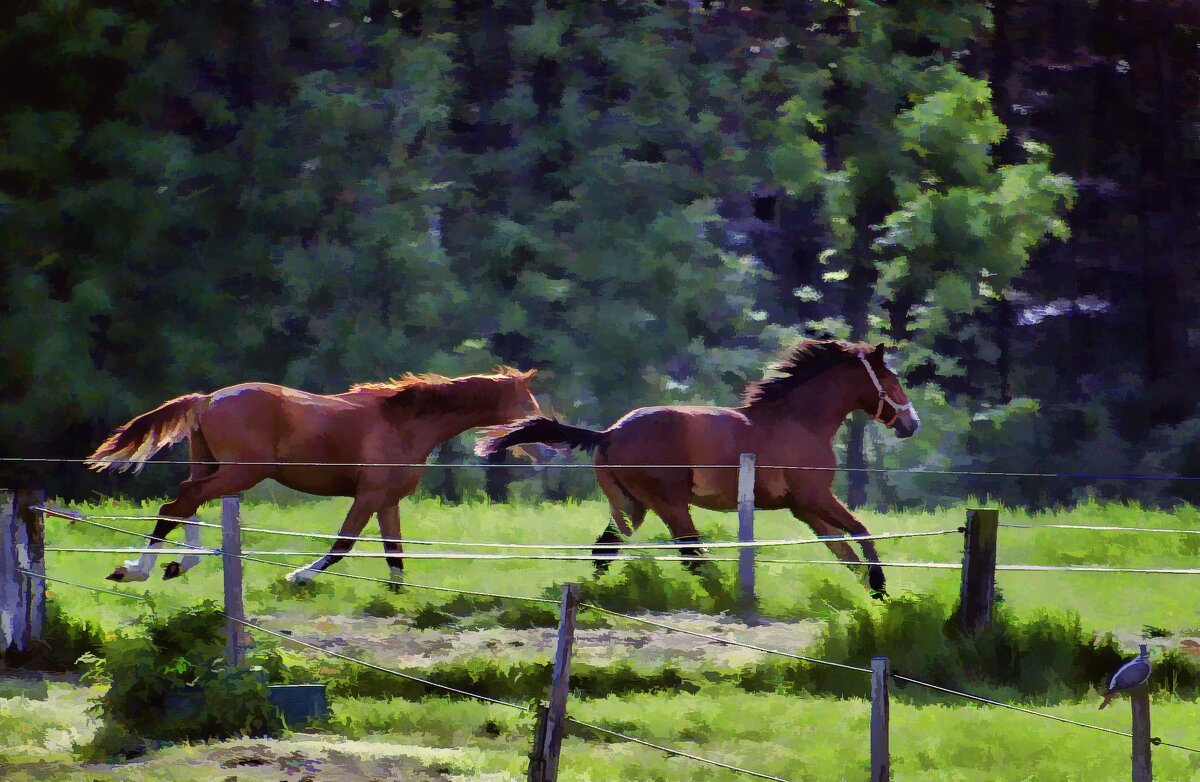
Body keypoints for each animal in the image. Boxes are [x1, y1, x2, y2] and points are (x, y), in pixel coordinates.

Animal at [83, 369, 535, 582]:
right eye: (528, 404)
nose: (539, 441)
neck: (405, 422)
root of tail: (207, 399)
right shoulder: (368, 496)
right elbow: (343, 544)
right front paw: (298, 576)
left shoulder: (388, 501)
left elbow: (396, 557)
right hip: (240, 474)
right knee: (176, 503)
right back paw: (137, 570)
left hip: (212, 466)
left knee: (185, 501)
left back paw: (178, 564)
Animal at [475, 340, 916, 592]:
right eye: (892, 379)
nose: (912, 424)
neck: (798, 420)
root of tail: (609, 433)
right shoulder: (814, 498)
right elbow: (861, 532)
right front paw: (879, 587)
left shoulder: (804, 508)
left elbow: (844, 551)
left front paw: (869, 596)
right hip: (670, 505)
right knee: (692, 555)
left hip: (631, 507)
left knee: (606, 550)